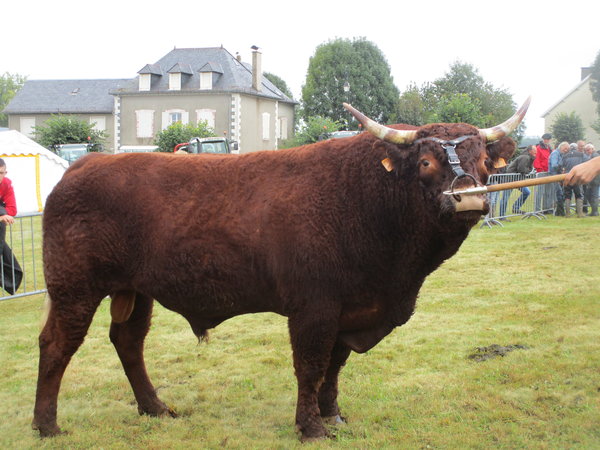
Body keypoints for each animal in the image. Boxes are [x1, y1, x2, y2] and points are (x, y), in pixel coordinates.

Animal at [35, 100, 528, 442]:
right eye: (426, 162)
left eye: (485, 162)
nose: (469, 199)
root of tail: (83, 166)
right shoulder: (314, 308)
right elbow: (310, 366)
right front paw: (311, 428)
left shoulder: (348, 310)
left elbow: (334, 367)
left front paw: (333, 416)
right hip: (73, 287)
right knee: (57, 344)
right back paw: (48, 427)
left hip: (135, 291)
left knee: (128, 341)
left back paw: (156, 408)